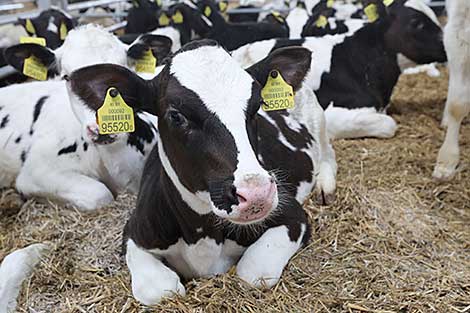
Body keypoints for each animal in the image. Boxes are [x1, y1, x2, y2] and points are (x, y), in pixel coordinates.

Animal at [67, 40, 338, 304]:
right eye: (176, 116)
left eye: (257, 106)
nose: (256, 193)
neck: (202, 235)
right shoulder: (134, 233)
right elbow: (159, 290)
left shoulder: (292, 215)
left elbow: (252, 272)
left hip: (319, 120)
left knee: (328, 155)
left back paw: (325, 187)